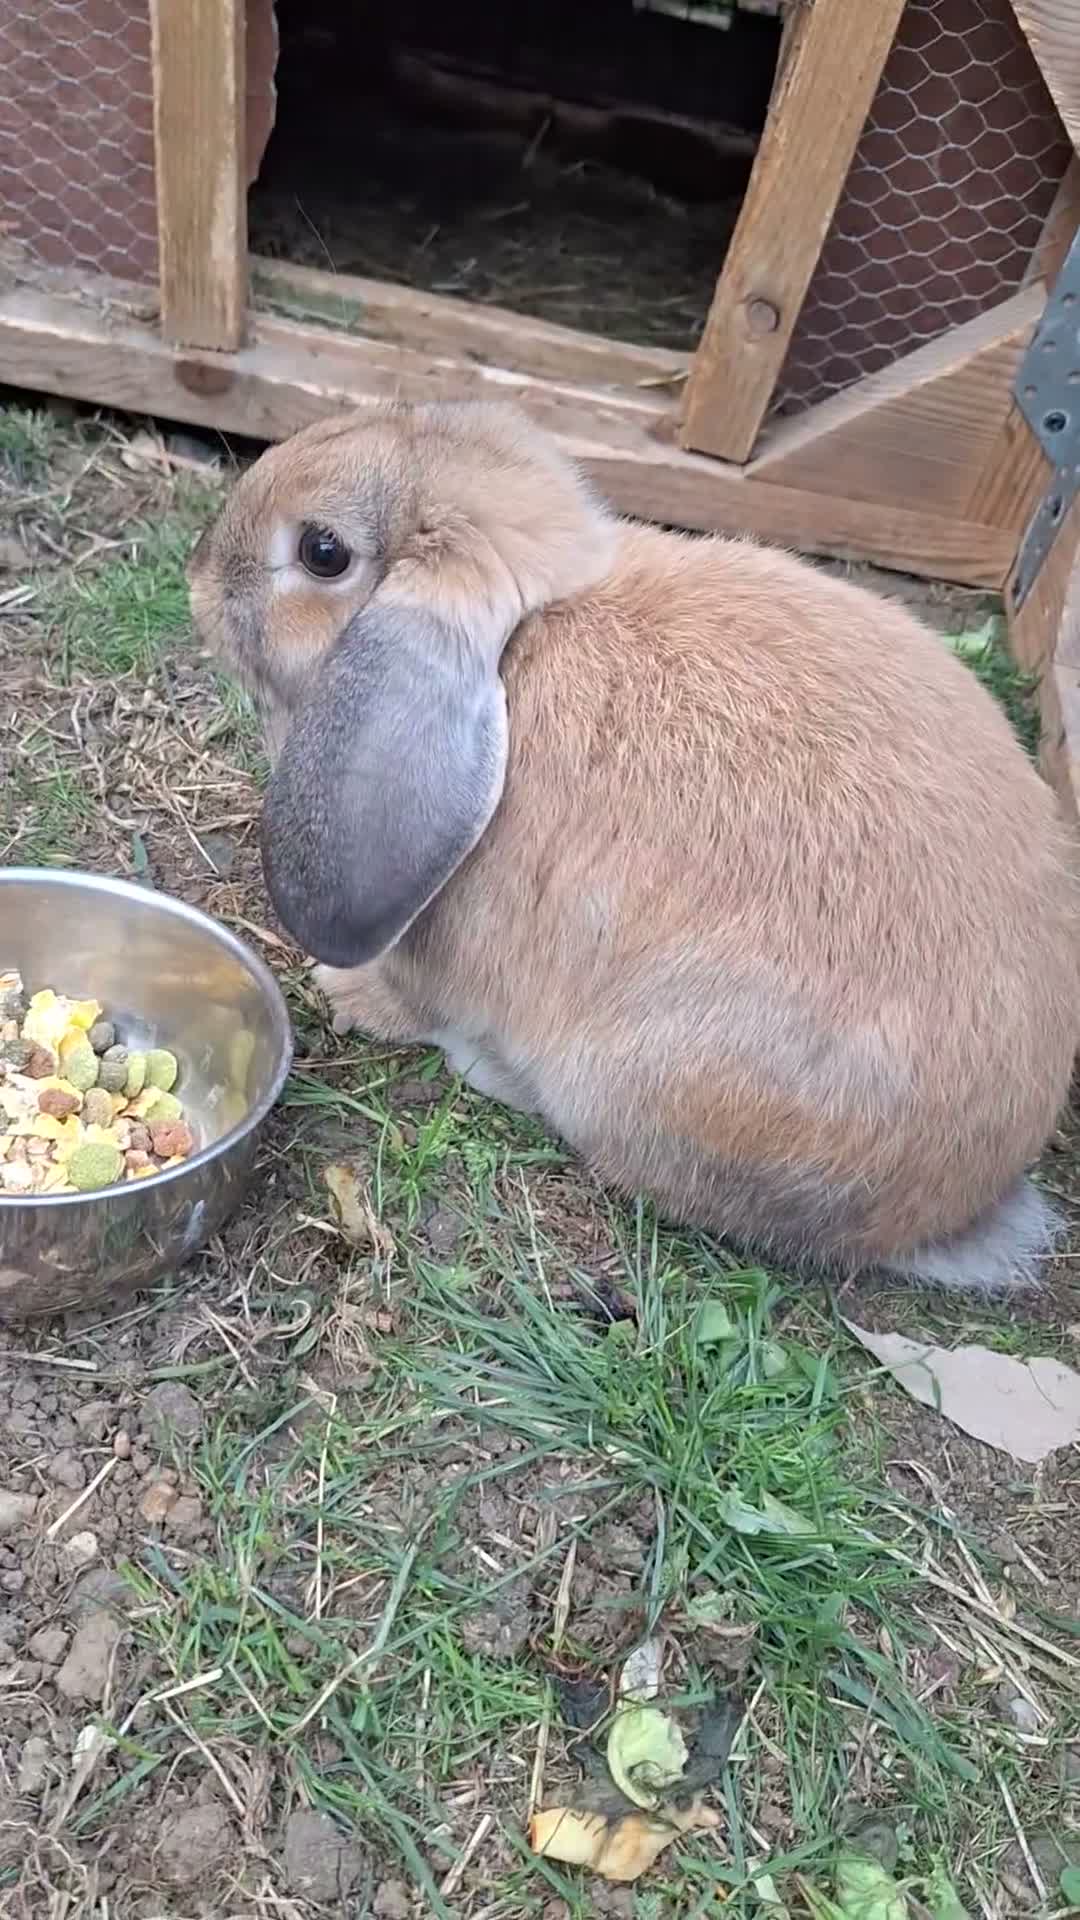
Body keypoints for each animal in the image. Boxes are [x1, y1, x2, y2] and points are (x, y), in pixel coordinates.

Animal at [188, 398, 1080, 1295]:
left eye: (322, 552)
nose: (198, 577)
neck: (520, 644)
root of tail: (950, 1208)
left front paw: (345, 991)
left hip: (635, 1081)